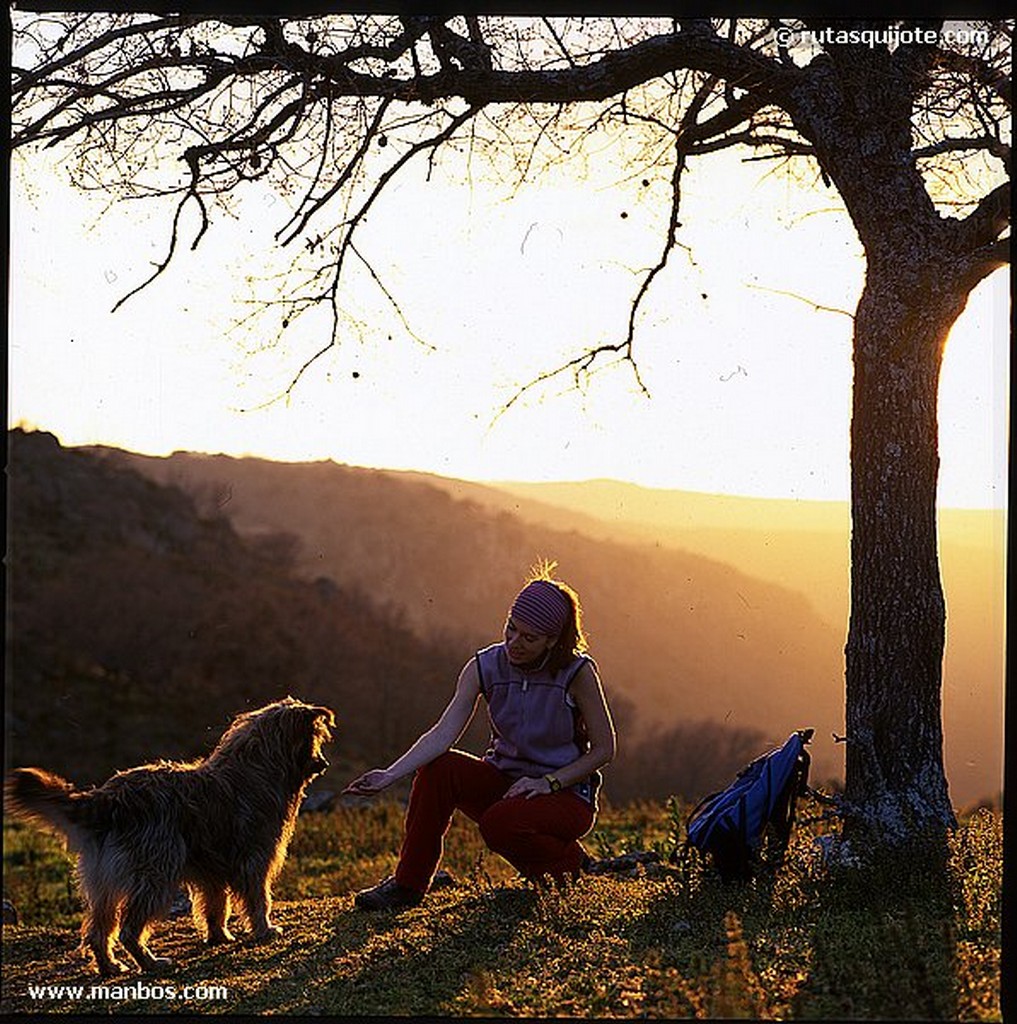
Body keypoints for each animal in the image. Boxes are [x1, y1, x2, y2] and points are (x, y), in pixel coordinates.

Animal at [4, 696, 337, 974]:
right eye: (315, 738)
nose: (324, 763)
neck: (261, 766)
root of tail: (109, 797)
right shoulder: (254, 859)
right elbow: (258, 899)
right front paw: (265, 930)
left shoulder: (212, 871)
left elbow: (216, 906)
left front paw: (219, 936)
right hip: (155, 873)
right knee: (128, 928)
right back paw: (149, 962)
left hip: (103, 882)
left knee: (99, 929)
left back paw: (110, 965)